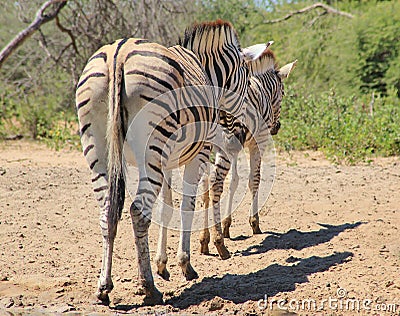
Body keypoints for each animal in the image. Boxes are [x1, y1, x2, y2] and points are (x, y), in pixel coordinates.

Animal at [75, 20, 268, 306]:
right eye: (245, 77)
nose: (239, 135)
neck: (207, 72)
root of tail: (118, 54)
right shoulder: (200, 152)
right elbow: (187, 205)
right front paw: (185, 265)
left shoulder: (166, 161)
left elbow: (167, 207)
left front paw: (163, 265)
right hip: (150, 145)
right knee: (138, 212)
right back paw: (149, 288)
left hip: (98, 147)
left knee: (107, 212)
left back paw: (104, 287)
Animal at [198, 49, 296, 256]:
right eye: (283, 93)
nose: (276, 127)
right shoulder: (257, 141)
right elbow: (254, 179)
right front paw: (254, 223)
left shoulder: (237, 146)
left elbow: (234, 181)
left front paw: (227, 225)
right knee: (214, 183)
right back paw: (218, 243)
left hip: (208, 145)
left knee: (205, 185)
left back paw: (204, 240)